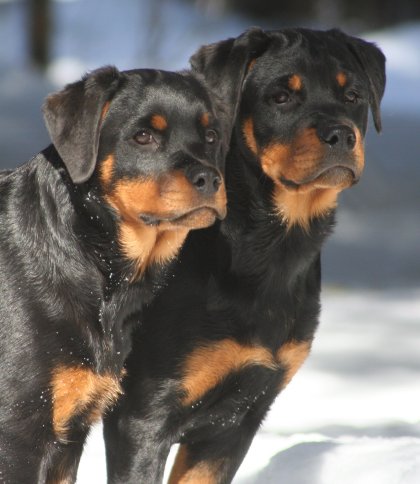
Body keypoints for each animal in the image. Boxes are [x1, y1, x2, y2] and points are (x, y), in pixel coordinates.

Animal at [103, 28, 386, 483]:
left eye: (353, 96)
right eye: (281, 97)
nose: (342, 134)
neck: (270, 248)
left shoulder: (236, 422)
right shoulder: (143, 415)